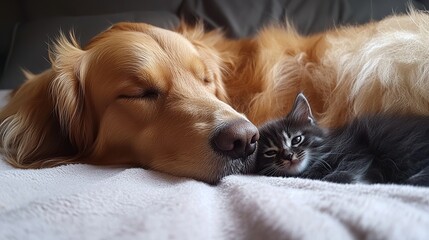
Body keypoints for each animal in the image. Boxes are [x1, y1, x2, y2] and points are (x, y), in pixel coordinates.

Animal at [252, 93, 428, 186]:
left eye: (296, 140)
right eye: (270, 153)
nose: (288, 155)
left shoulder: (356, 150)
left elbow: (348, 168)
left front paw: (334, 178)